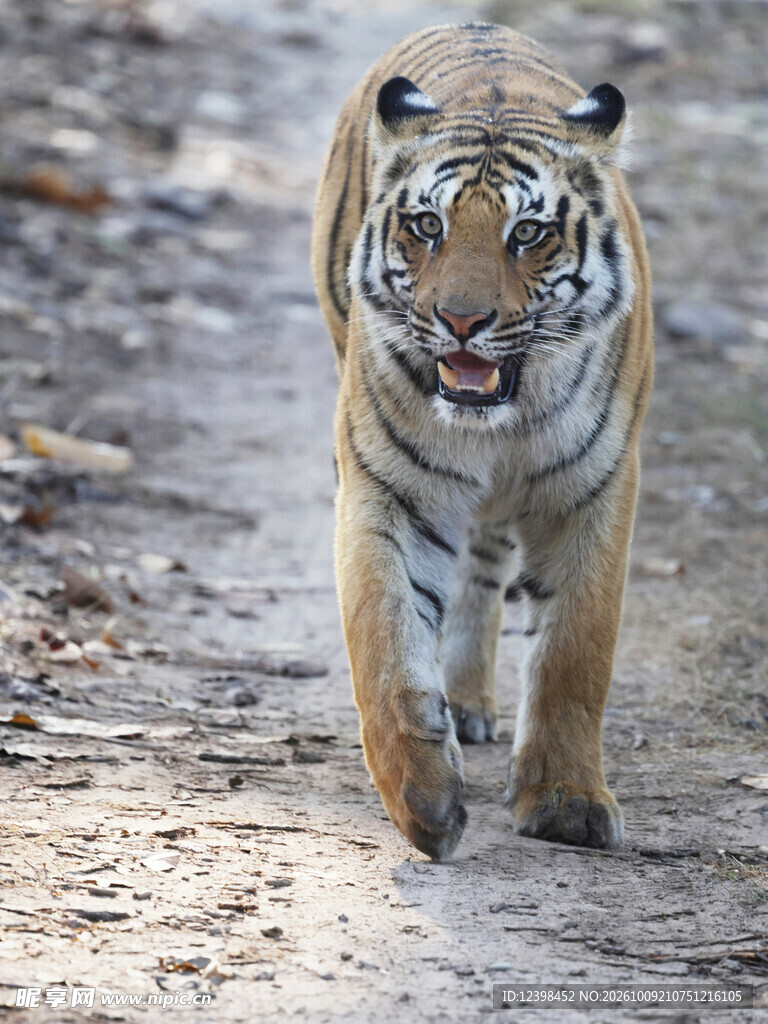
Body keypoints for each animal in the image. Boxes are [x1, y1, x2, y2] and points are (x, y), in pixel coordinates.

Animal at [311, 21, 653, 860]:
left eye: (526, 233)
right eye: (428, 226)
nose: (460, 320)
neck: (504, 417)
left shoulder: (596, 488)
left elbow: (576, 652)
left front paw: (567, 801)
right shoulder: (388, 486)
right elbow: (384, 636)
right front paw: (423, 799)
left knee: (484, 566)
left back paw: (468, 700)